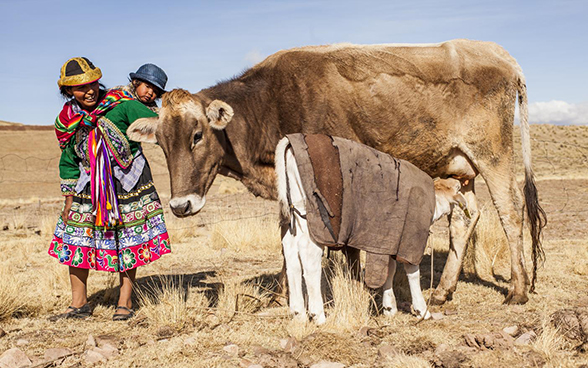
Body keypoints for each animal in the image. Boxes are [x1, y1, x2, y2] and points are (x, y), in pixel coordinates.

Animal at [129, 39, 548, 304]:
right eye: (161, 143)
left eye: (197, 135)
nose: (180, 206)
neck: (271, 102)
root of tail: (502, 56)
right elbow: (289, 237)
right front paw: (283, 294)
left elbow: (342, 239)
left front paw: (356, 286)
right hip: (460, 166)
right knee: (466, 217)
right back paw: (444, 291)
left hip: (492, 153)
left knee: (510, 211)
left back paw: (518, 290)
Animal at [276, 135, 468, 324]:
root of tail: (291, 141)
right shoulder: (411, 237)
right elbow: (412, 271)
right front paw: (422, 310)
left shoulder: (389, 239)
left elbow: (390, 269)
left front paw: (389, 307)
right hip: (317, 219)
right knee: (309, 255)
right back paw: (318, 314)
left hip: (296, 212)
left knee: (291, 253)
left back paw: (298, 313)